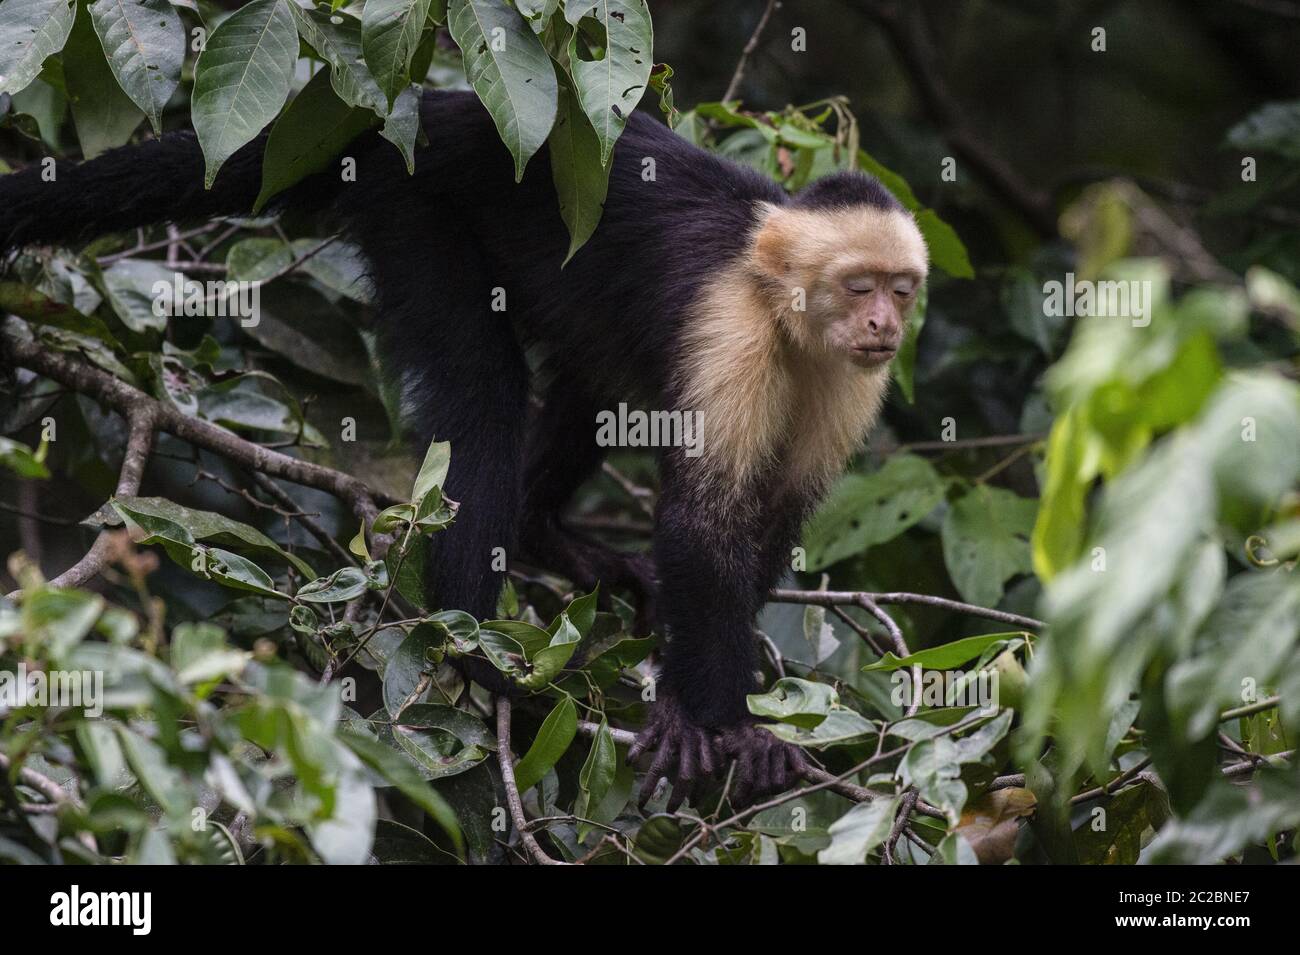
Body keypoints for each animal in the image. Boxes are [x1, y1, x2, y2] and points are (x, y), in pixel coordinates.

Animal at [5, 87, 930, 805]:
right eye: (858, 286)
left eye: (899, 289)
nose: (884, 325)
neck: (785, 313)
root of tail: (430, 108)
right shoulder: (732, 327)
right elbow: (705, 526)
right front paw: (719, 719)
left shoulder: (851, 379)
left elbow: (771, 519)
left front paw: (707, 700)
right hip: (409, 198)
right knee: (487, 390)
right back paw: (479, 650)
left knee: (594, 375)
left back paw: (537, 536)